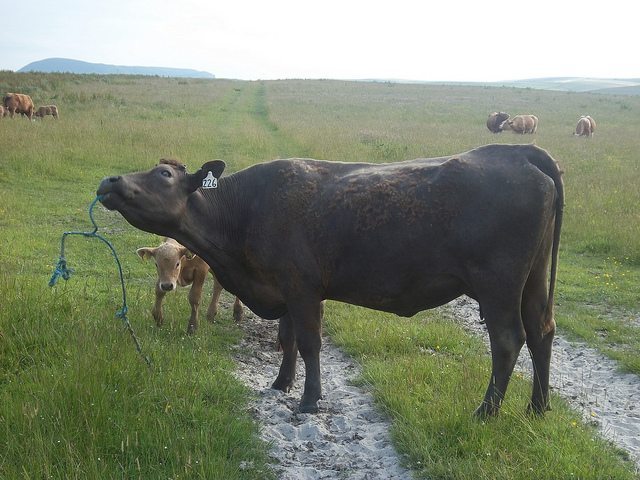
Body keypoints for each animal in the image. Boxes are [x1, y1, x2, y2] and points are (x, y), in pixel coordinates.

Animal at [97, 144, 564, 418]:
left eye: (164, 176)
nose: (109, 179)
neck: (244, 210)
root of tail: (515, 153)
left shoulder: (303, 288)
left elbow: (309, 343)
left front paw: (308, 400)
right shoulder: (283, 289)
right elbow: (286, 340)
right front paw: (281, 384)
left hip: (498, 285)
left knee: (508, 340)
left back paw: (486, 412)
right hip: (533, 281)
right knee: (542, 331)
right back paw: (537, 409)